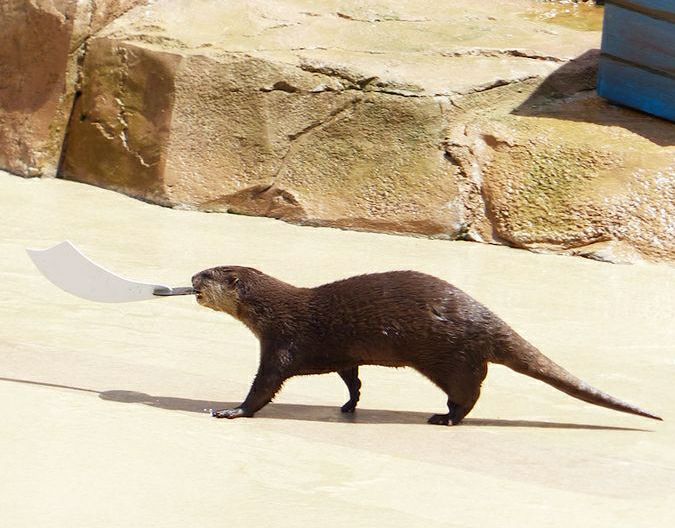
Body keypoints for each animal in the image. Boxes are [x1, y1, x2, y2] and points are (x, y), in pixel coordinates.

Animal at [191, 266, 661, 425]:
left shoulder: (283, 343)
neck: (278, 310)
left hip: (450, 357)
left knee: (470, 390)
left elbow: (264, 387)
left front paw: (232, 411)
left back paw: (446, 417)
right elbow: (352, 378)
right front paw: (350, 404)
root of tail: (484, 318)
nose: (192, 276)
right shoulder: (341, 353)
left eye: (209, 273)